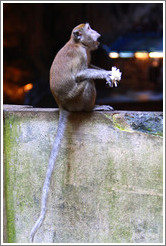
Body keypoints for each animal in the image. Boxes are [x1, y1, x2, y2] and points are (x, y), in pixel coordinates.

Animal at [29, 23, 116, 242]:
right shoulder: (80, 55)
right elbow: (80, 74)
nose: (96, 33)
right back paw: (93, 108)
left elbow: (91, 67)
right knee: (86, 83)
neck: (77, 43)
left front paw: (109, 73)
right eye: (88, 28)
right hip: (76, 98)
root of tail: (62, 104)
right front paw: (106, 75)